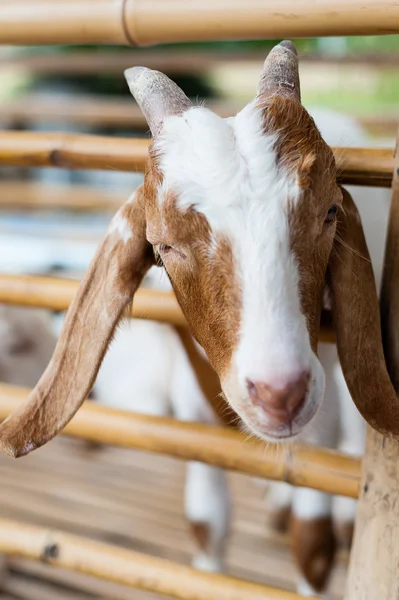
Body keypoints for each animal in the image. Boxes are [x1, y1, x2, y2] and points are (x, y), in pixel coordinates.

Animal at [1, 41, 398, 596]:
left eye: (330, 213)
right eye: (165, 244)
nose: (280, 393)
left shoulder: (316, 424)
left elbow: (313, 545)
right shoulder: (193, 422)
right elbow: (206, 524)